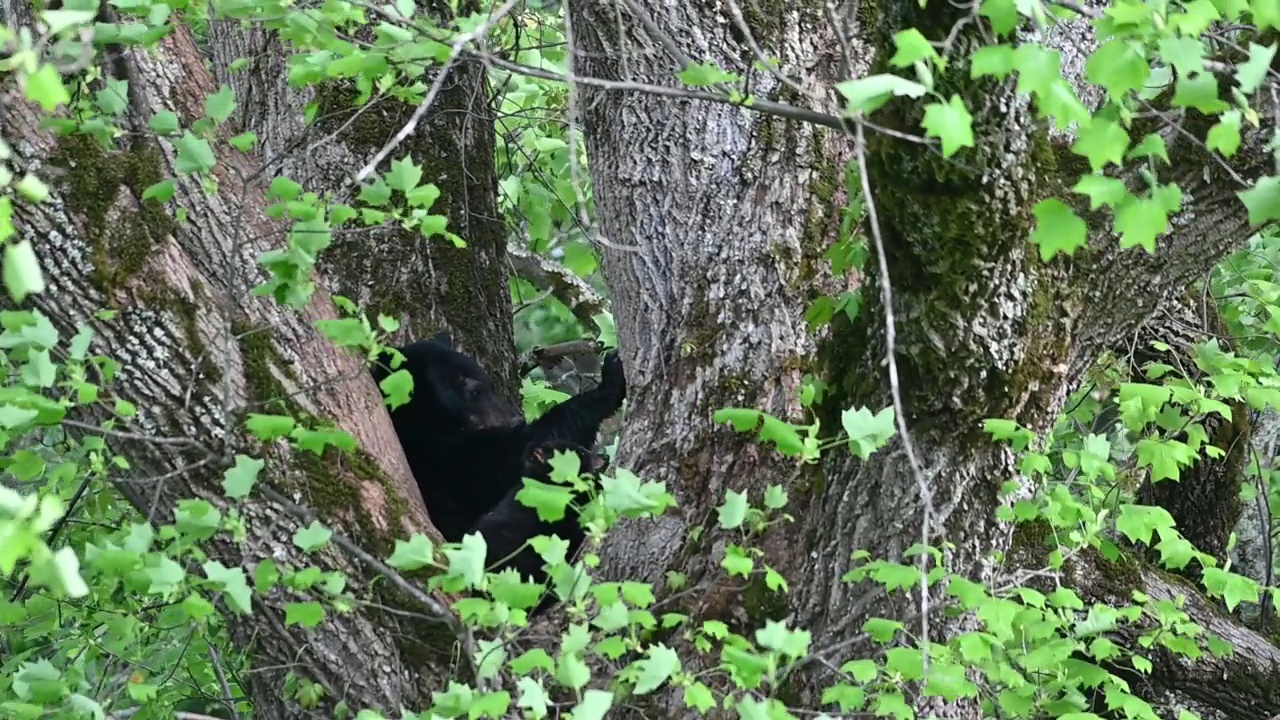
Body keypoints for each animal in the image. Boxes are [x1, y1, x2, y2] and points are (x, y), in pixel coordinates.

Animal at [373, 330, 627, 543]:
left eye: (490, 384)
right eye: (474, 391)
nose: (516, 419)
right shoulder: (439, 459)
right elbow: (503, 461)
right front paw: (610, 380)